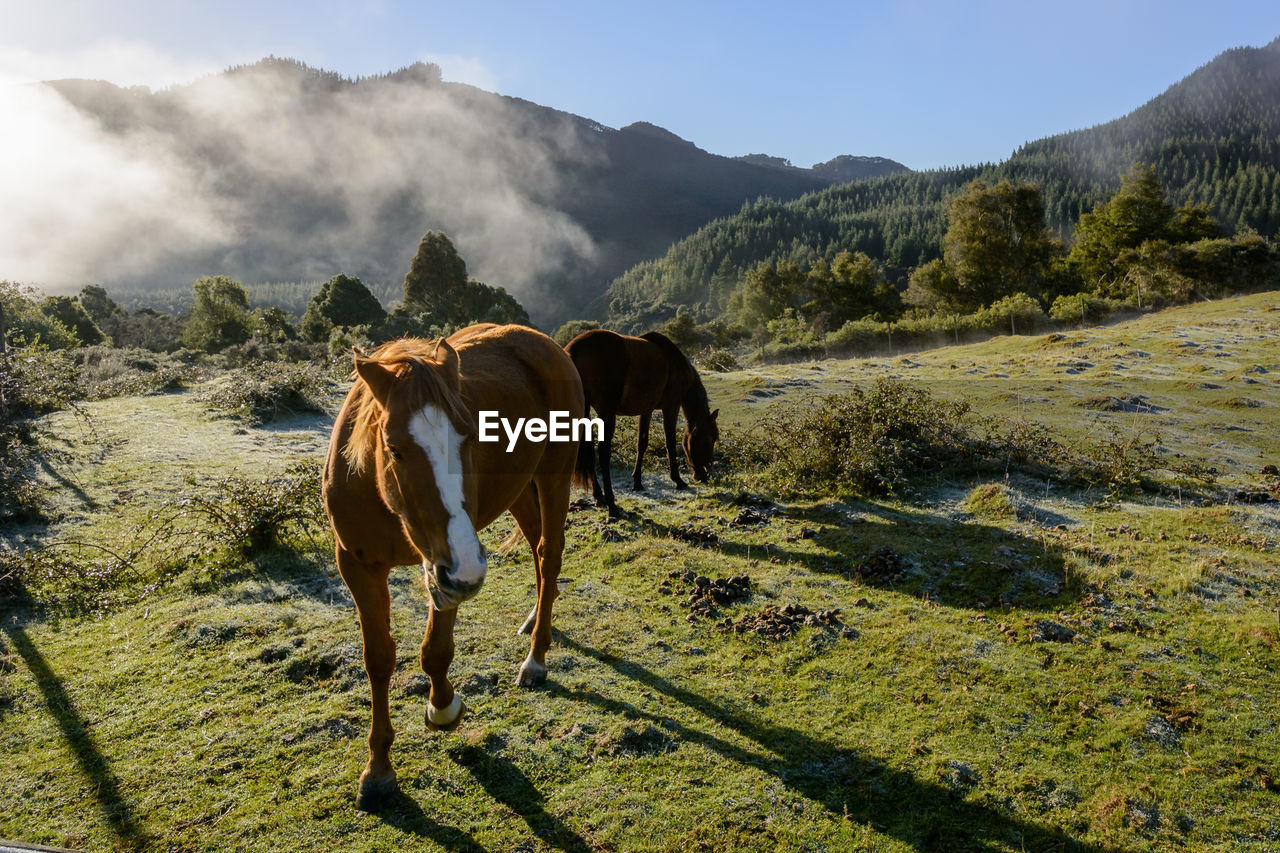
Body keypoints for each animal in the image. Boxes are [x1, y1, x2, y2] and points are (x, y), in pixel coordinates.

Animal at [325, 322, 593, 809]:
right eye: (394, 448)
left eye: (470, 435)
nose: (467, 569)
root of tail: (542, 341)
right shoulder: (360, 567)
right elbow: (378, 658)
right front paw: (378, 769)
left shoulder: (446, 567)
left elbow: (435, 651)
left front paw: (443, 707)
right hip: (517, 491)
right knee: (536, 550)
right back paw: (534, 620)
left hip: (553, 476)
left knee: (549, 554)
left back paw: (536, 657)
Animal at [565, 326, 716, 514]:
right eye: (710, 439)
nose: (705, 474)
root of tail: (574, 350)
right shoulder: (671, 406)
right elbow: (670, 442)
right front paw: (678, 480)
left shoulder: (646, 410)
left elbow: (642, 444)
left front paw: (637, 481)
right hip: (607, 413)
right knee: (603, 452)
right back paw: (612, 504)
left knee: (588, 449)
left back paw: (599, 497)